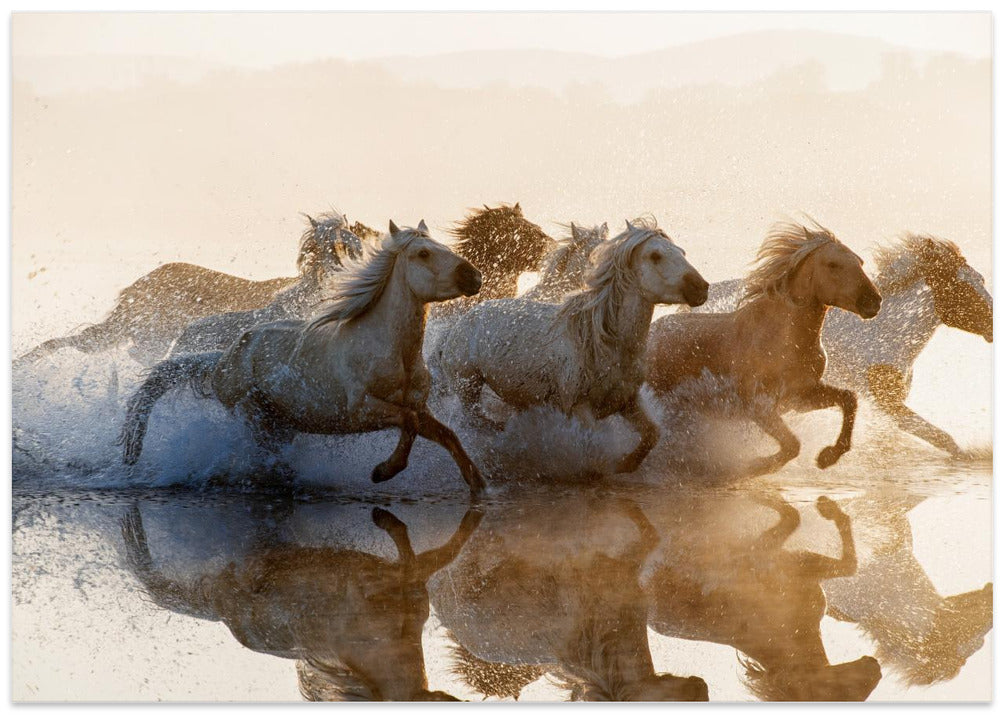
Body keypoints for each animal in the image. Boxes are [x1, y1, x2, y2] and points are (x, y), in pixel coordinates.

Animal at [439, 217, 709, 474]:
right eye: (655, 255)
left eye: (682, 252)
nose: (701, 288)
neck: (602, 342)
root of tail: (469, 315)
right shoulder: (580, 407)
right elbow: (595, 448)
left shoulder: (627, 401)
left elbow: (652, 434)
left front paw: (625, 464)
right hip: (468, 385)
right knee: (476, 420)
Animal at [645, 219, 882, 477]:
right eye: (832, 264)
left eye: (860, 262)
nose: (873, 301)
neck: (787, 341)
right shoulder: (759, 406)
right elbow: (792, 445)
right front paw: (755, 465)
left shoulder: (799, 397)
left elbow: (849, 399)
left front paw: (828, 455)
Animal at [684, 233, 992, 457]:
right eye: (963, 289)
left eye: (981, 279)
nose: (993, 324)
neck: (887, 337)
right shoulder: (889, 403)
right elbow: (942, 437)